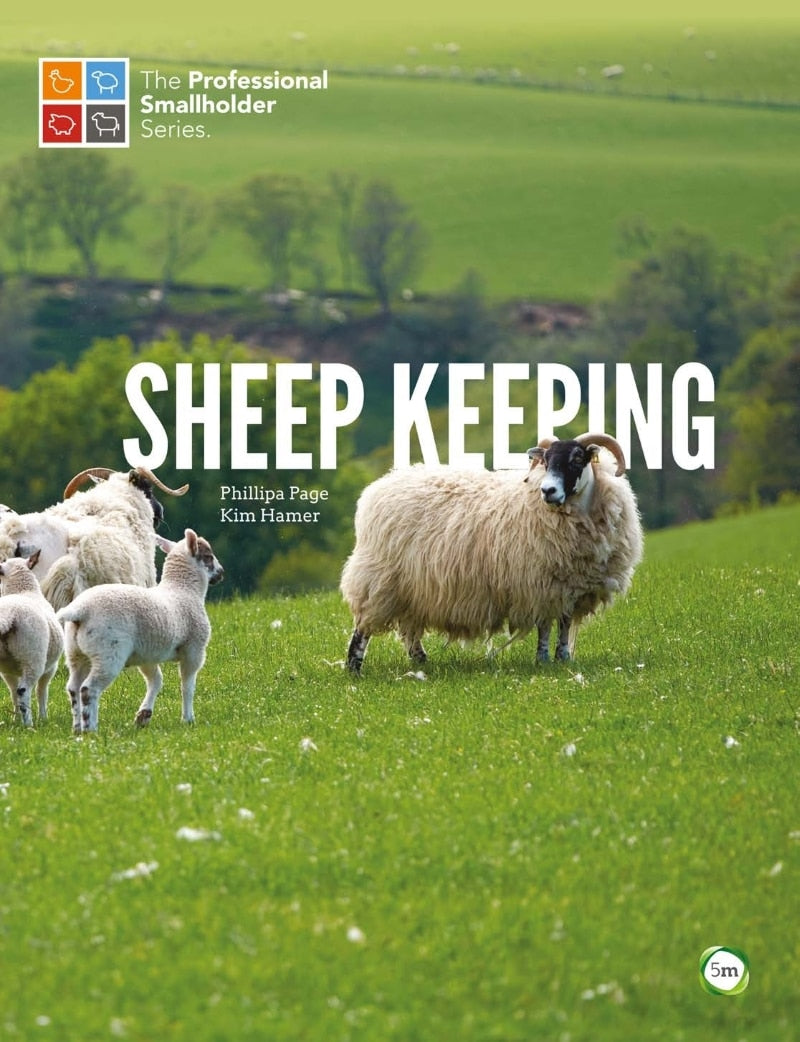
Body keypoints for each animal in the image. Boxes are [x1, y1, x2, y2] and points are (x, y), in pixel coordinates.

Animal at [0, 552, 64, 727]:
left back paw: (20, 720)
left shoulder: (7, 671)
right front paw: (43, 717)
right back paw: (29, 724)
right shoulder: (51, 667)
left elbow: (12, 693)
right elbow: (42, 692)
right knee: (24, 690)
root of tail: (10, 614)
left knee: (16, 691)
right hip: (33, 657)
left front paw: (15, 719)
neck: (23, 590)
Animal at [56, 528, 224, 733]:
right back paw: (90, 729)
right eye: (208, 556)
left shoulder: (147, 655)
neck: (184, 590)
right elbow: (187, 686)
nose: (221, 573)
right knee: (89, 689)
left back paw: (78, 728)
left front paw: (143, 715)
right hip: (109, 652)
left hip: (76, 653)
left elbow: (156, 681)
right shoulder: (194, 650)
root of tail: (79, 610)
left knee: (74, 687)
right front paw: (188, 719)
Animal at [340, 433, 643, 673]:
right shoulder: (540, 584)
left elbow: (565, 625)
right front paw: (544, 660)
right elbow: (546, 626)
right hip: (379, 579)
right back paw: (354, 668)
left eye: (578, 459)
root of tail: (378, 487)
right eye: (545, 461)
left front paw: (563, 658)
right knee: (363, 627)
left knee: (409, 628)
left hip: (411, 588)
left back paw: (421, 661)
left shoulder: (570, 587)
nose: (548, 490)